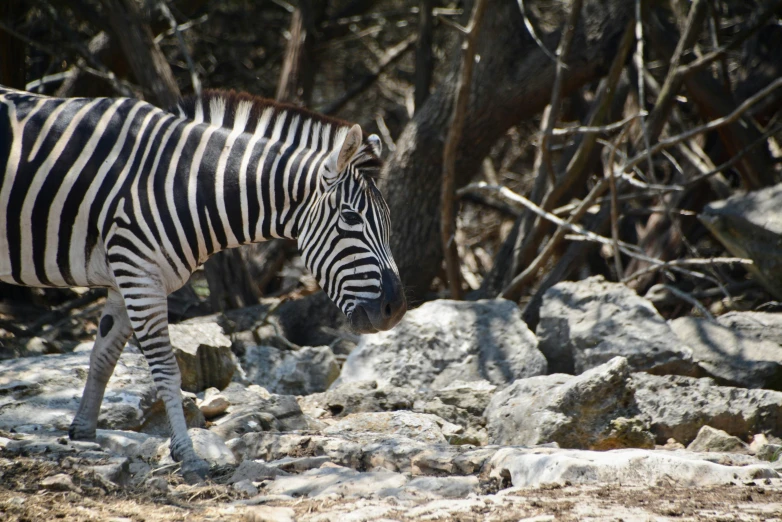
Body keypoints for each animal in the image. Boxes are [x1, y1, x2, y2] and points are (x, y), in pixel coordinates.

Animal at [3, 85, 410, 480]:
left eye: (390, 220)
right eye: (350, 218)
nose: (396, 309)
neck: (182, 184)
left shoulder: (124, 277)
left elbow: (103, 357)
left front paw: (84, 435)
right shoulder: (140, 274)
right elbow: (167, 370)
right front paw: (188, 457)